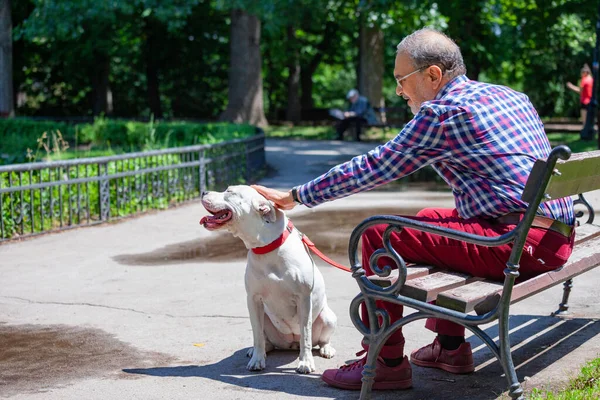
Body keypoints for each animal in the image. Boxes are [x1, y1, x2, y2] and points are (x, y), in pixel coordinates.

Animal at [199, 186, 336, 374]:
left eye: (229, 191)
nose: (203, 192)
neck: (265, 248)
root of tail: (291, 342)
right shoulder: (253, 299)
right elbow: (257, 333)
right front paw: (257, 359)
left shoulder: (304, 298)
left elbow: (306, 334)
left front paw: (306, 362)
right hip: (266, 317)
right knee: (265, 339)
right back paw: (259, 350)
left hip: (329, 317)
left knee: (320, 339)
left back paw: (326, 348)